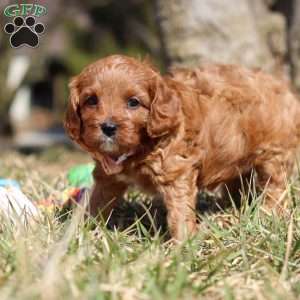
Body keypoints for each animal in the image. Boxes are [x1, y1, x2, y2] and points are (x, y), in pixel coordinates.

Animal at [65, 55, 300, 240]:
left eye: (133, 102)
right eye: (91, 100)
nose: (108, 127)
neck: (141, 146)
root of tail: (284, 90)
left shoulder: (176, 172)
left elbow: (178, 212)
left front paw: (182, 244)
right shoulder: (109, 177)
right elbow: (98, 202)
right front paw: (84, 232)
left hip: (274, 154)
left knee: (275, 187)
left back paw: (267, 214)